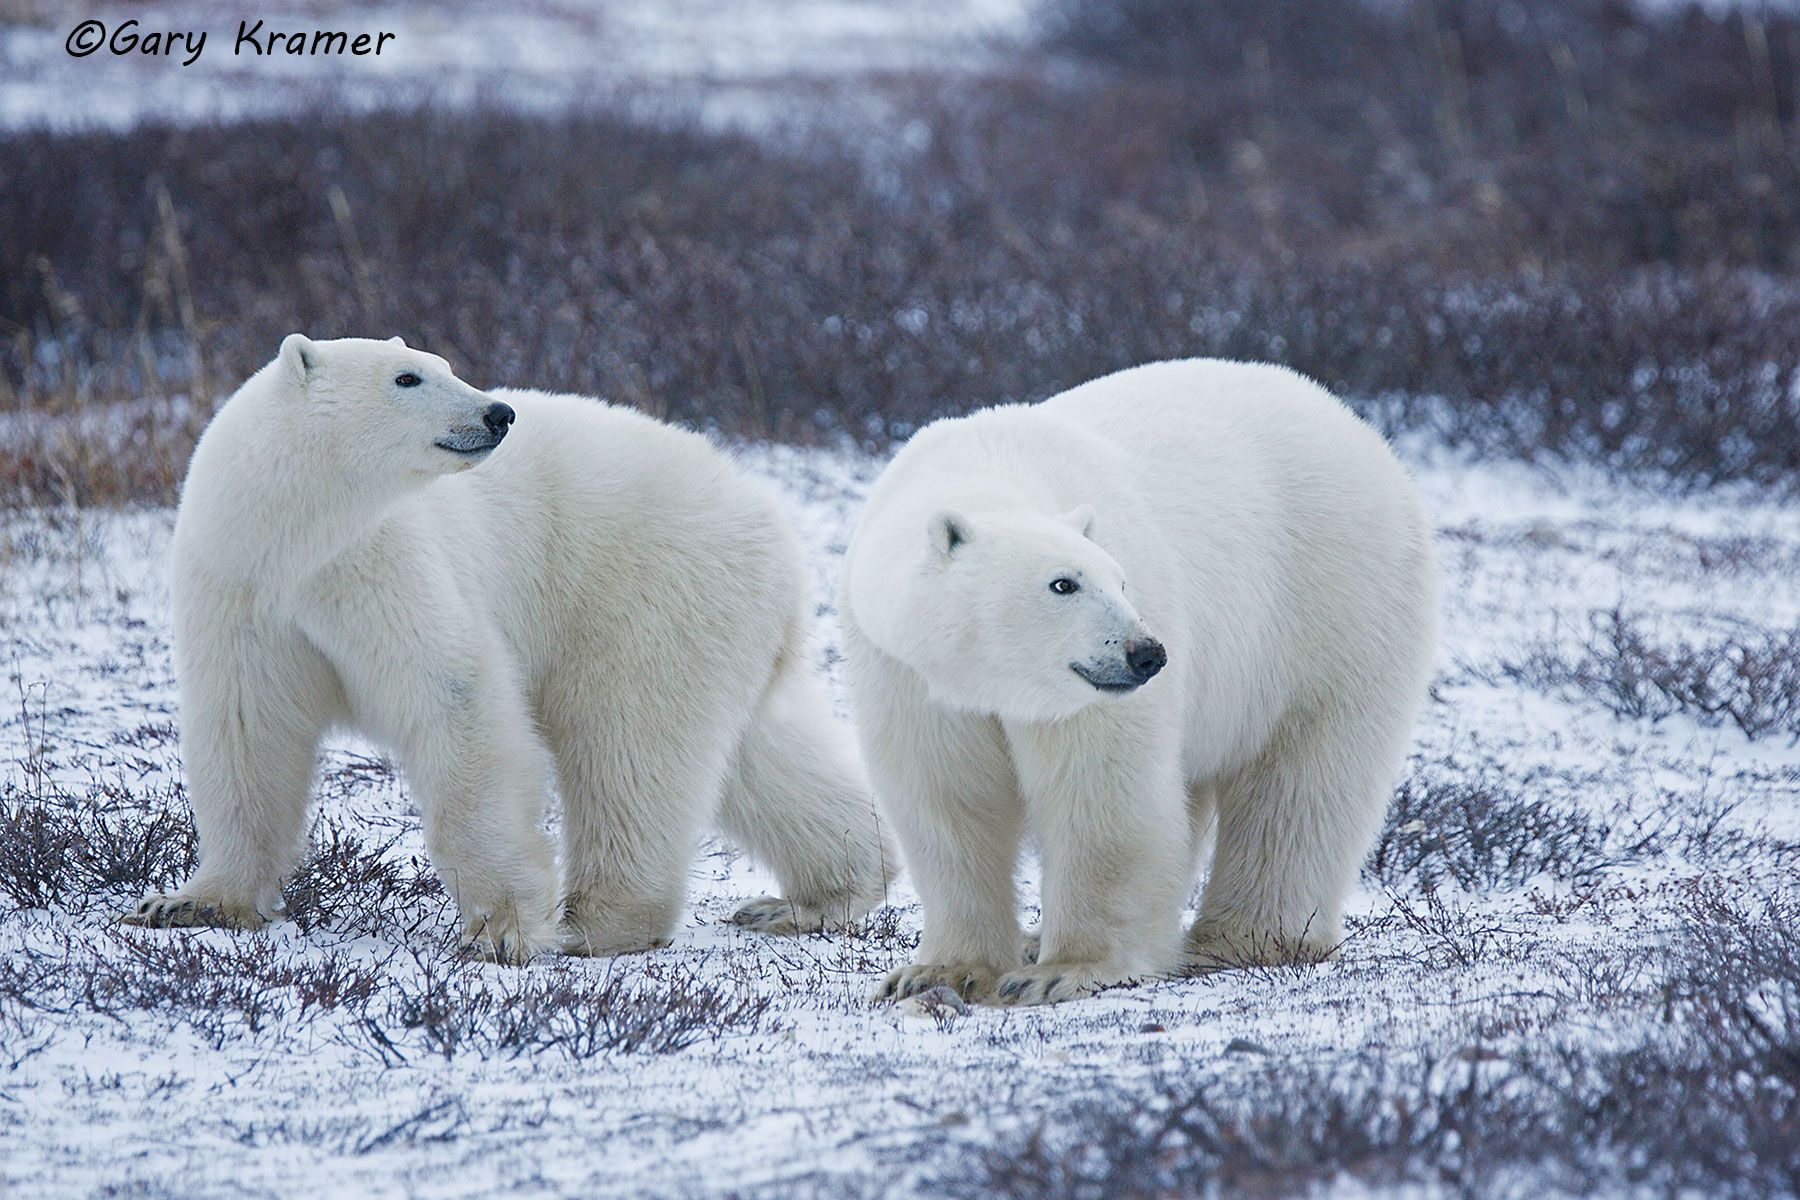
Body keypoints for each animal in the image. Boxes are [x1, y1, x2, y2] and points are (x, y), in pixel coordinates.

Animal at [126, 335, 894, 962]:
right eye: (408, 376)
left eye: (444, 364)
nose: (498, 413)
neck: (296, 539)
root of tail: (771, 520)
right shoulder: (240, 589)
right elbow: (246, 730)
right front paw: (188, 902)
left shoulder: (384, 564)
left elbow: (457, 701)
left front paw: (501, 931)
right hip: (720, 619)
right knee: (757, 753)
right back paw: (815, 896)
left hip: (646, 591)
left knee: (628, 745)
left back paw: (600, 922)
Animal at [842, 358, 1437, 1005]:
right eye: (1063, 583)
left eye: (1120, 580)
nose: (1146, 654)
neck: (988, 468)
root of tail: (1358, 427)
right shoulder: (908, 673)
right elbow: (946, 799)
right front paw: (938, 972)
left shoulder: (1086, 696)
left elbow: (1102, 794)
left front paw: (1061, 970)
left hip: (1331, 605)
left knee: (1302, 783)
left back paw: (1243, 938)